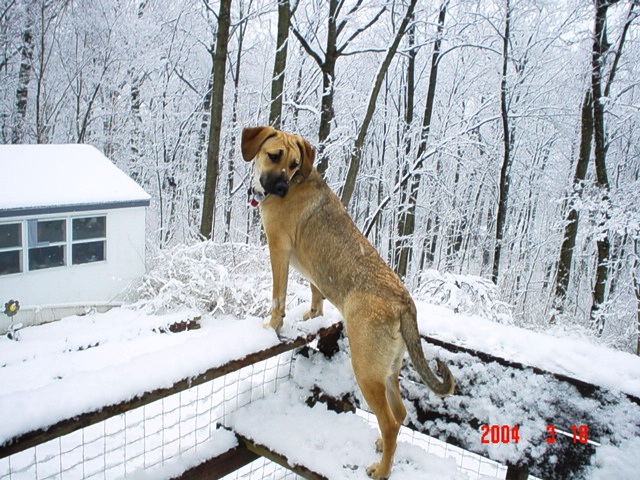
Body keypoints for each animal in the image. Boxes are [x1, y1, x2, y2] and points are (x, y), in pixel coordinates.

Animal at [240, 125, 456, 478]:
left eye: (294, 164)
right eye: (274, 156)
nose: (282, 188)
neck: (296, 182)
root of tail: (405, 303)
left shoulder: (278, 249)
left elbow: (277, 298)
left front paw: (272, 325)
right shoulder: (313, 271)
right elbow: (316, 294)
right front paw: (312, 317)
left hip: (366, 370)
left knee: (391, 422)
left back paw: (381, 470)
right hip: (388, 369)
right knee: (400, 413)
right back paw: (383, 448)